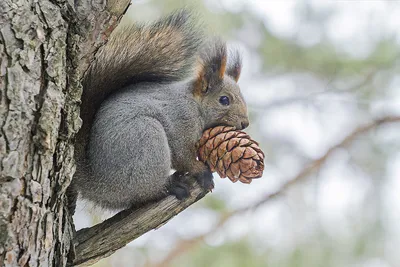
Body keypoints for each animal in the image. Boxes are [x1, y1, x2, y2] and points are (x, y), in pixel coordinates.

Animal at [70, 10, 248, 214]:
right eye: (224, 100)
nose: (245, 123)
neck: (194, 104)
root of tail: (103, 186)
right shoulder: (181, 123)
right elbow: (182, 156)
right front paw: (201, 171)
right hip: (146, 140)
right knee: (146, 192)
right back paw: (171, 186)